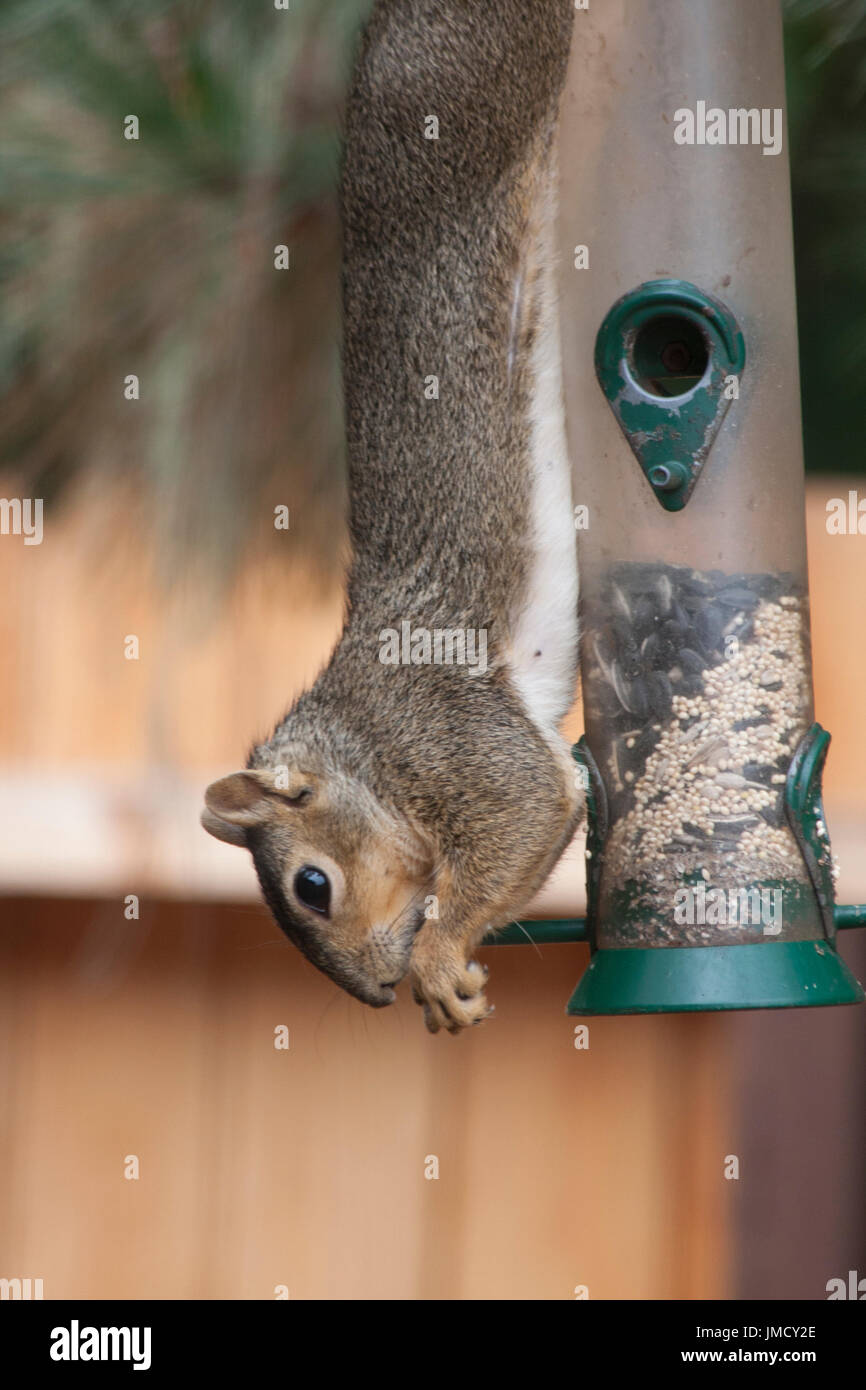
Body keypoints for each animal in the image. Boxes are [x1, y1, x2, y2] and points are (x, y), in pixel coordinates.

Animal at [202, 0, 582, 1033]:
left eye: (312, 887)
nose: (372, 994)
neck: (361, 740)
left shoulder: (442, 727)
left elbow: (530, 807)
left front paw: (438, 961)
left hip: (492, 82)